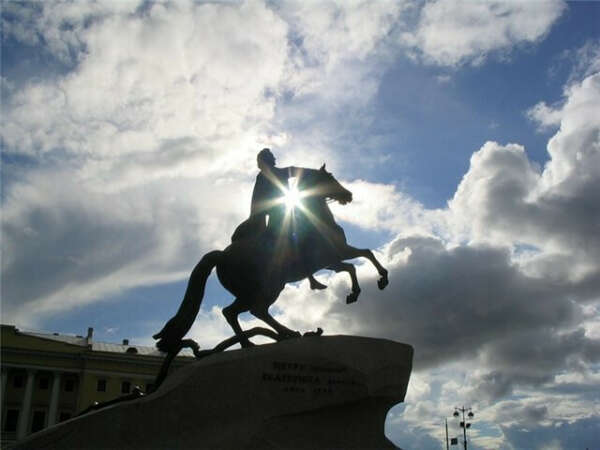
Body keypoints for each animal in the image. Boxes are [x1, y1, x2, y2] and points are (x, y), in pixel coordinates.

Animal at [155, 166, 386, 352]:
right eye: (329, 178)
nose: (348, 195)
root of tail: (222, 255)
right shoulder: (330, 258)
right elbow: (358, 262)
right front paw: (365, 288)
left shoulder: (336, 257)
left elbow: (362, 257)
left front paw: (371, 285)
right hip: (265, 288)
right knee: (246, 311)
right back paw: (270, 337)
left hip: (257, 291)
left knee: (243, 311)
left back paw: (270, 337)